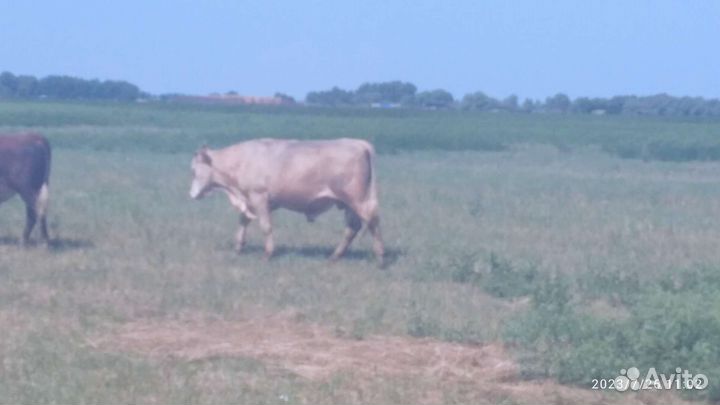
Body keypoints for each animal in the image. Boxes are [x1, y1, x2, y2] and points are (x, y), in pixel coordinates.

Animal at [189, 138, 384, 267]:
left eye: (193, 170)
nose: (191, 195)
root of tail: (359, 143)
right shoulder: (251, 200)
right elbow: (243, 221)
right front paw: (239, 247)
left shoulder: (259, 197)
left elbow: (266, 227)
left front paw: (268, 254)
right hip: (348, 204)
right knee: (352, 228)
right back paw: (335, 256)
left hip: (358, 199)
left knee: (373, 222)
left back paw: (380, 258)